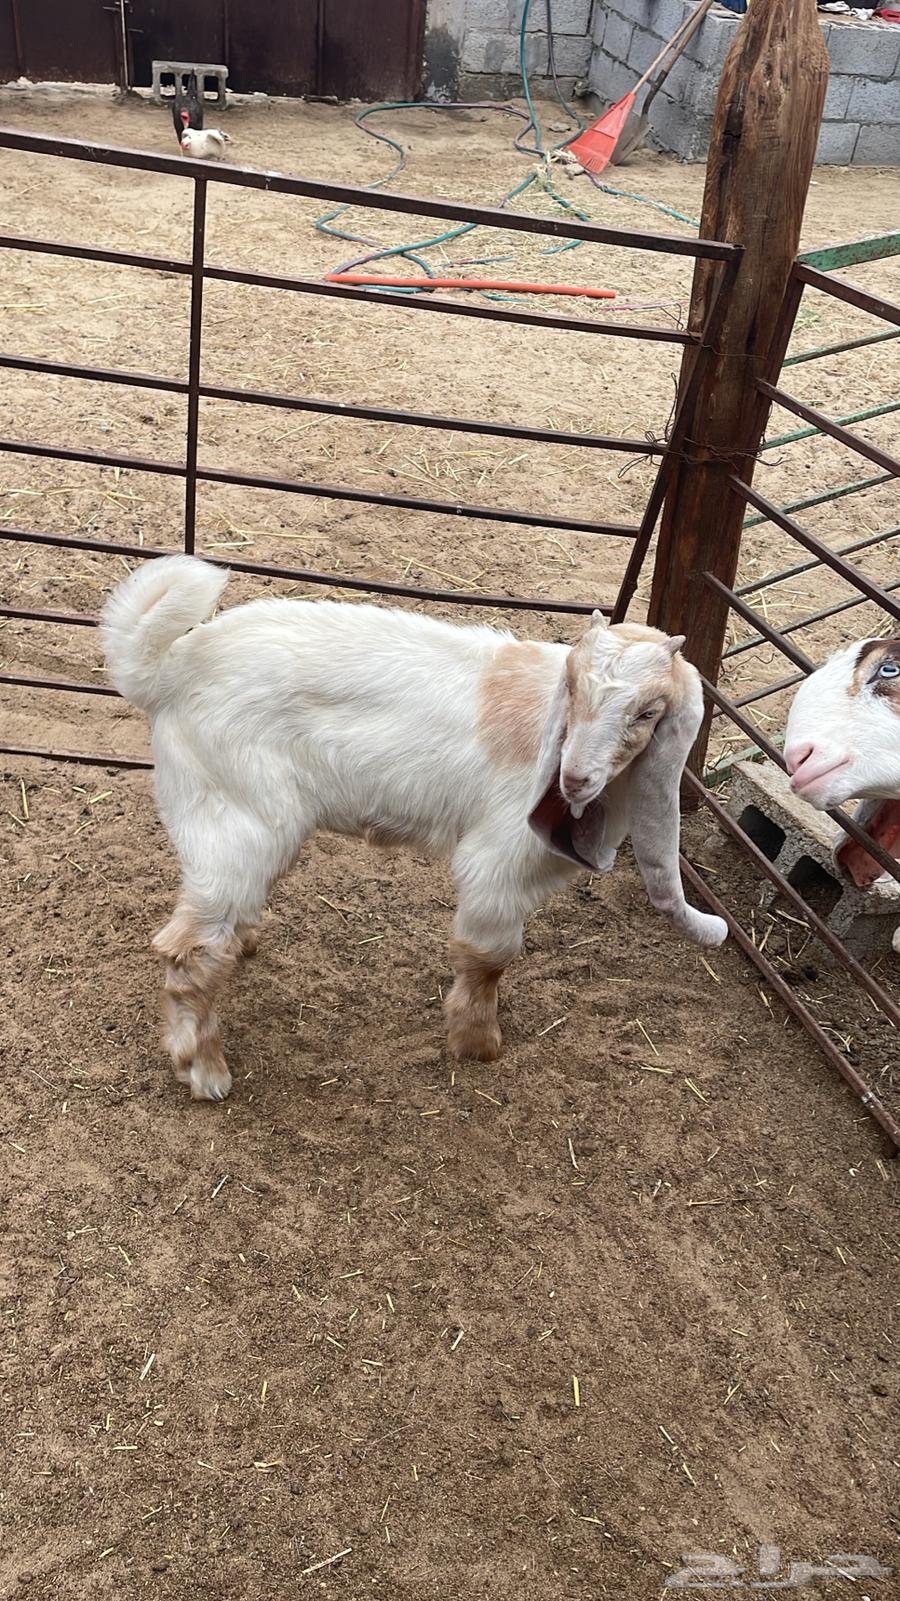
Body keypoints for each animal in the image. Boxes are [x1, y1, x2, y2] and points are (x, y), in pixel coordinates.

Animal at [102, 556, 727, 1101]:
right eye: (572, 689)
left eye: (648, 712)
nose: (573, 780)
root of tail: (169, 669)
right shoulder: (498, 863)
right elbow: (490, 955)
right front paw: (478, 1044)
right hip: (237, 821)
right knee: (188, 950)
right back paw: (205, 1071)